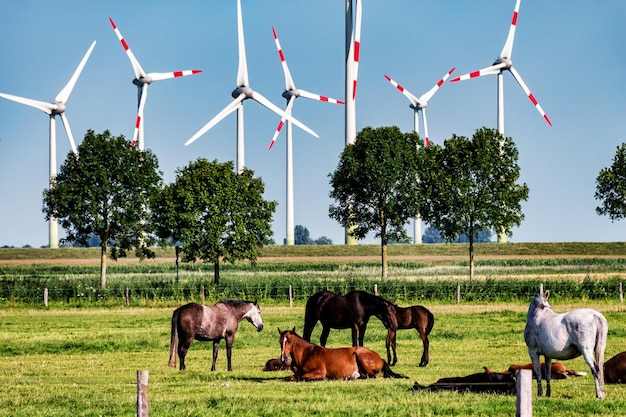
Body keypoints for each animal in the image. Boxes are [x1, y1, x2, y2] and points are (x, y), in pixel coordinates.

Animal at [276, 326, 404, 382]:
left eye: (289, 341)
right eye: (280, 341)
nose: (283, 358)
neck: (305, 355)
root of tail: (381, 358)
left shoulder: (319, 372)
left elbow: (303, 377)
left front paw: (324, 379)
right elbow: (290, 377)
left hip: (360, 355)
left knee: (371, 375)